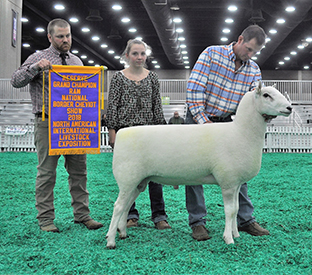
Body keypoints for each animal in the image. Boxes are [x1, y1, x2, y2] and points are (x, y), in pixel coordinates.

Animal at [106, 82, 292, 250]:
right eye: (266, 95)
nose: (289, 108)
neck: (240, 132)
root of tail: (121, 133)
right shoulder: (228, 182)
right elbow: (230, 211)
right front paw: (228, 239)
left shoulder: (236, 183)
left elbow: (237, 208)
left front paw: (236, 234)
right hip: (128, 178)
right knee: (118, 206)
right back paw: (111, 241)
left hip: (139, 182)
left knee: (127, 205)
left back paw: (122, 233)